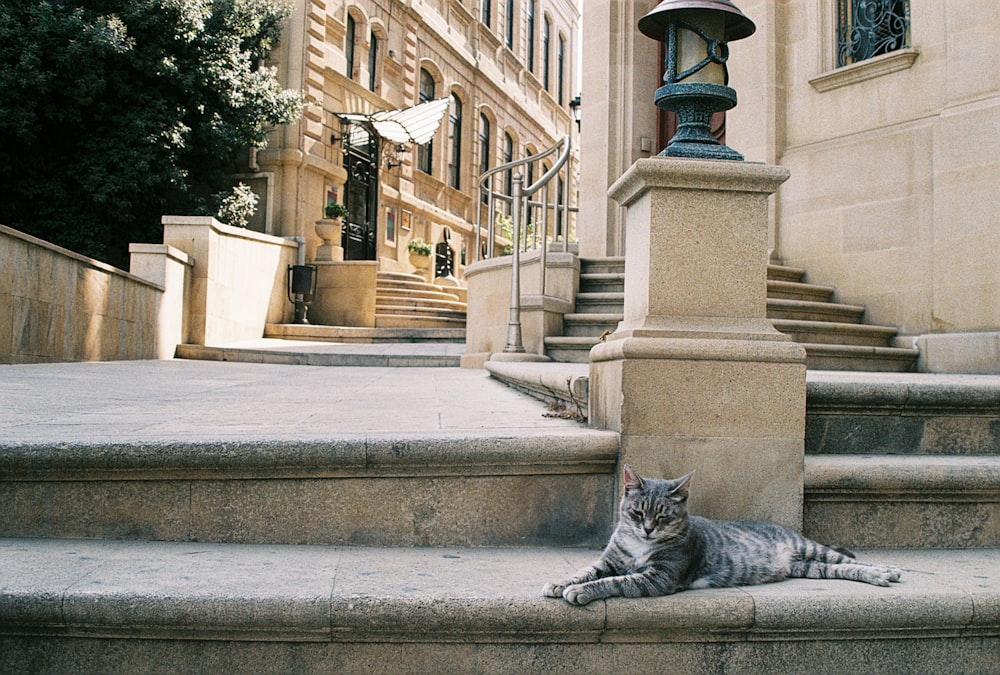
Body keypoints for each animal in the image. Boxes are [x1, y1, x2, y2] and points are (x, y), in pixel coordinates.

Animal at [544, 464, 904, 608]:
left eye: (663, 516)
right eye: (637, 512)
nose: (647, 528)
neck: (638, 546)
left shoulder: (660, 577)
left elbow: (612, 582)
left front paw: (580, 592)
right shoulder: (610, 560)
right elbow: (587, 571)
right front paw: (560, 583)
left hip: (813, 550)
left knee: (852, 561)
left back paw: (887, 571)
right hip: (809, 567)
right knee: (841, 568)